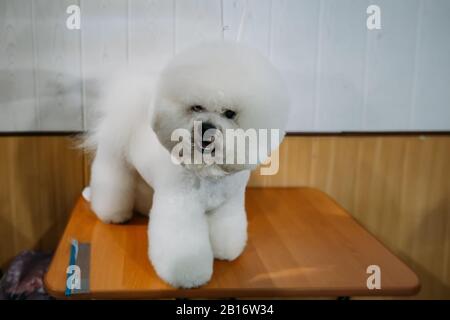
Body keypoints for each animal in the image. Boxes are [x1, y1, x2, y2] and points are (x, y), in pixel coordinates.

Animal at [85, 41, 288, 288]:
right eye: (196, 107)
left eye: (230, 113)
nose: (206, 128)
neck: (206, 168)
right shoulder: (181, 206)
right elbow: (183, 246)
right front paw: (188, 276)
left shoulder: (227, 204)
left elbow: (226, 228)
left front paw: (225, 252)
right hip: (115, 161)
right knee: (111, 185)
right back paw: (114, 215)